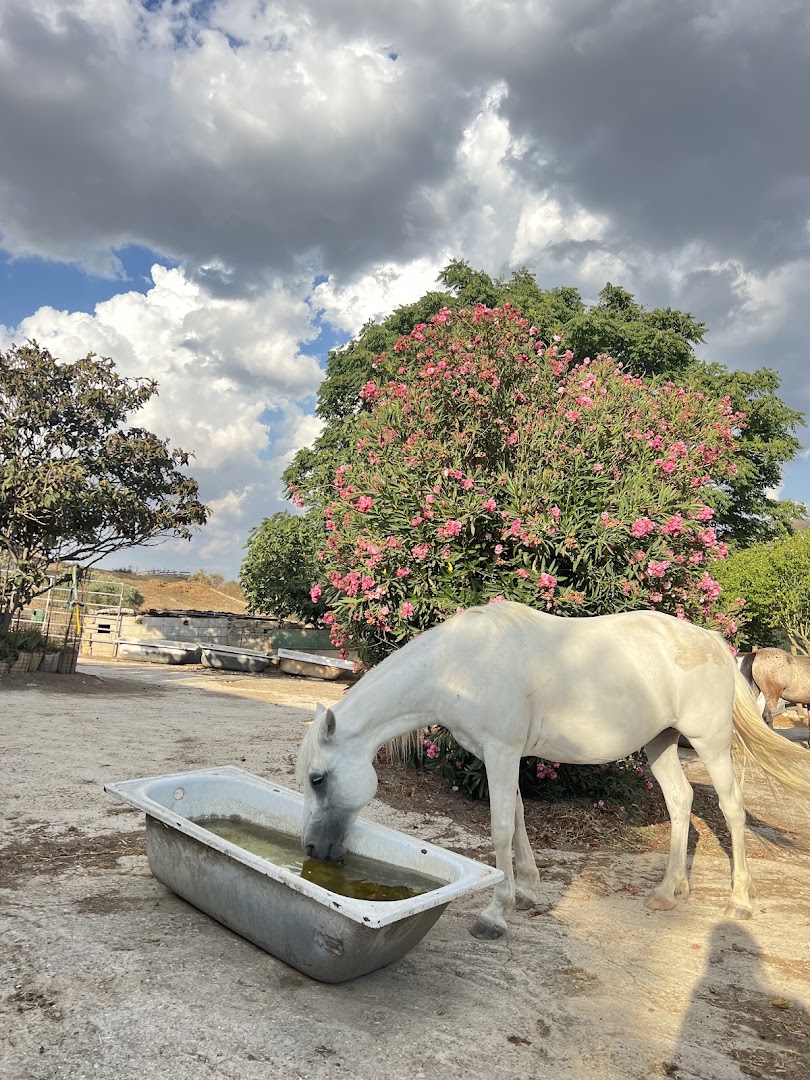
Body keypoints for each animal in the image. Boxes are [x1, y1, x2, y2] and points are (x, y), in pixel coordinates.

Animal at [296, 602, 810, 940]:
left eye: (318, 779)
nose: (312, 850)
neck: (460, 666)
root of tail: (714, 642)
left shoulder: (502, 753)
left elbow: (501, 826)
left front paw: (495, 913)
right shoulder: (499, 755)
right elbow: (519, 817)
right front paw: (526, 888)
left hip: (710, 743)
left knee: (732, 809)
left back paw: (739, 899)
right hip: (660, 743)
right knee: (681, 801)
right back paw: (669, 890)